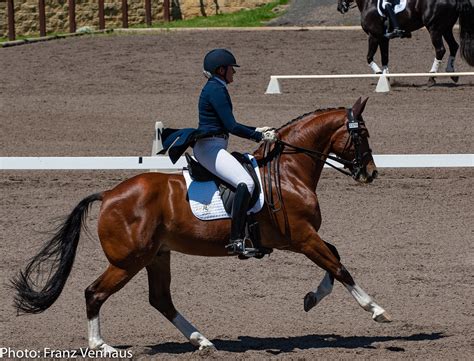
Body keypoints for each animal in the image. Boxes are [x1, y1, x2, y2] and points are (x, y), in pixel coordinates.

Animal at [12, 97, 388, 352]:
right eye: (363, 135)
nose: (370, 173)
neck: (288, 171)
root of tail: (108, 195)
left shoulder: (297, 239)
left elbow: (334, 259)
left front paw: (311, 298)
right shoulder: (303, 237)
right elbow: (339, 267)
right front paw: (376, 309)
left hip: (156, 256)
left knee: (160, 299)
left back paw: (202, 341)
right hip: (128, 260)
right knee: (95, 292)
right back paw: (101, 346)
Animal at [336, 0, 474, 85]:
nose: (340, 8)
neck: (369, 3)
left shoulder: (373, 36)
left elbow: (369, 57)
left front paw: (379, 74)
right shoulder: (383, 38)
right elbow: (385, 58)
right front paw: (386, 78)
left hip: (434, 28)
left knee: (440, 50)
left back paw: (431, 77)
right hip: (445, 28)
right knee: (453, 46)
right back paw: (452, 73)